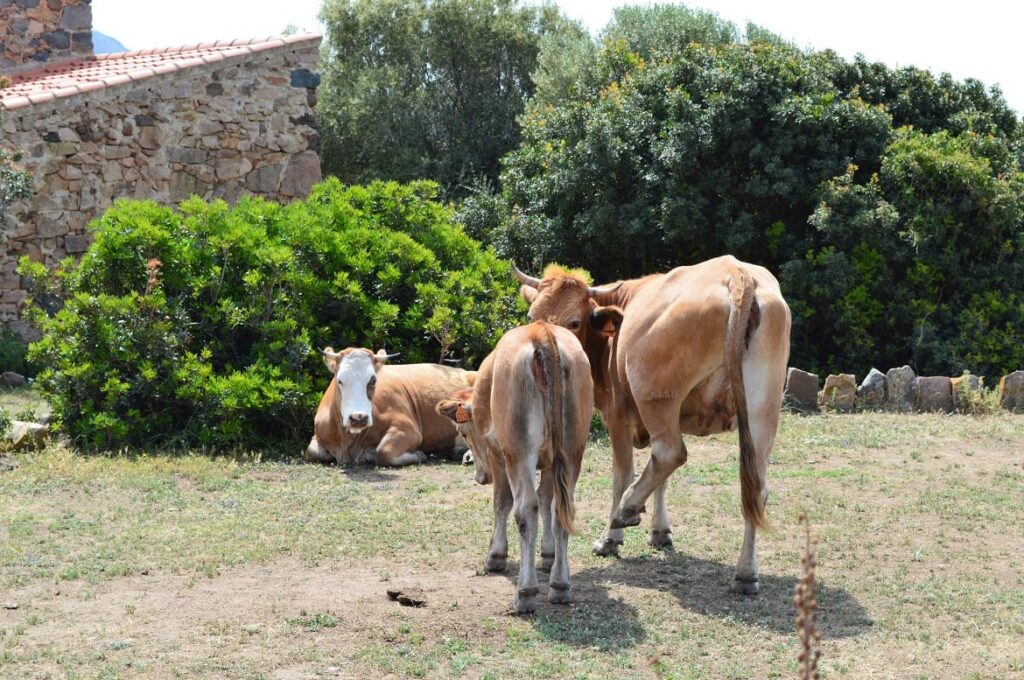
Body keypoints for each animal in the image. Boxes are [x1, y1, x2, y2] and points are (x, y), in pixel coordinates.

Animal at [303, 348, 475, 464]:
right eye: (340, 380)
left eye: (373, 380)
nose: (358, 418)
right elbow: (311, 452)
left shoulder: (409, 429)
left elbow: (384, 452)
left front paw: (418, 455)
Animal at [434, 321, 593, 614]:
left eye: (463, 433)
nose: (480, 477)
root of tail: (541, 332)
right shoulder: (551, 462)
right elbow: (547, 501)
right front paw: (548, 554)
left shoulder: (497, 452)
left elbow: (502, 502)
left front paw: (495, 555)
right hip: (572, 449)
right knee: (561, 509)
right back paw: (560, 585)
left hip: (518, 451)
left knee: (525, 508)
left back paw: (525, 593)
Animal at [520, 255, 790, 593]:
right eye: (532, 316)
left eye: (575, 323)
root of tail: (736, 274)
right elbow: (662, 481)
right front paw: (660, 532)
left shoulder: (618, 415)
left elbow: (623, 475)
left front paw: (612, 540)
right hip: (761, 411)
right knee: (755, 487)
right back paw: (746, 574)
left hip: (656, 399)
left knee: (669, 452)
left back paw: (625, 511)